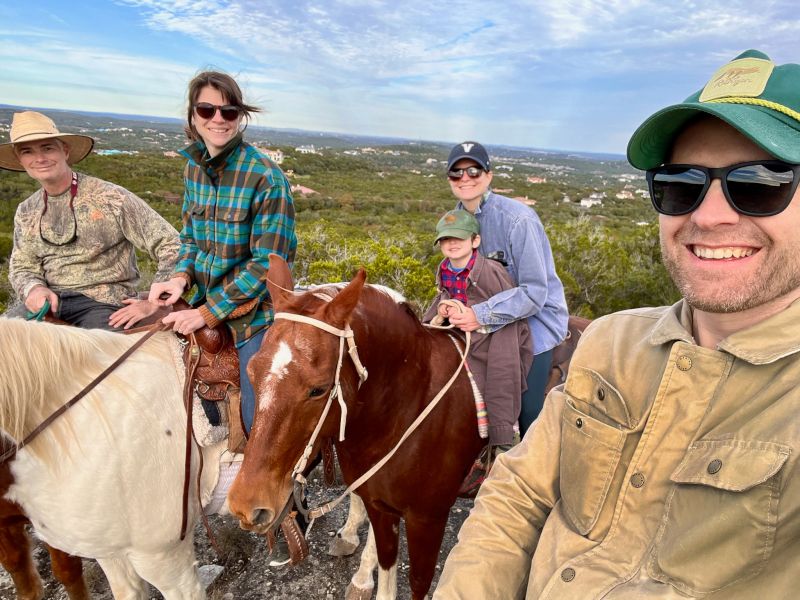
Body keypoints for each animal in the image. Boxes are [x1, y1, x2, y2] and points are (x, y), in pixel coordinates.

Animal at [228, 256, 484, 600]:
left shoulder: (427, 521)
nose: (245, 506)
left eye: (319, 390)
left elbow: (417, 582)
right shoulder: (379, 504)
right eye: (252, 372)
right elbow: (386, 568)